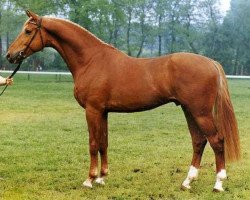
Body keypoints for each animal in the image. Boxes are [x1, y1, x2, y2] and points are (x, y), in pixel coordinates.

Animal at [6, 10, 240, 191]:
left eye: (28, 31)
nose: (10, 55)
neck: (91, 60)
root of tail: (211, 62)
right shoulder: (103, 111)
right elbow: (104, 142)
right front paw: (102, 178)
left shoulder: (92, 110)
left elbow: (93, 143)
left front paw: (89, 179)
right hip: (189, 110)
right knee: (198, 141)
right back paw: (187, 182)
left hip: (200, 112)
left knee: (217, 141)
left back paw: (218, 184)